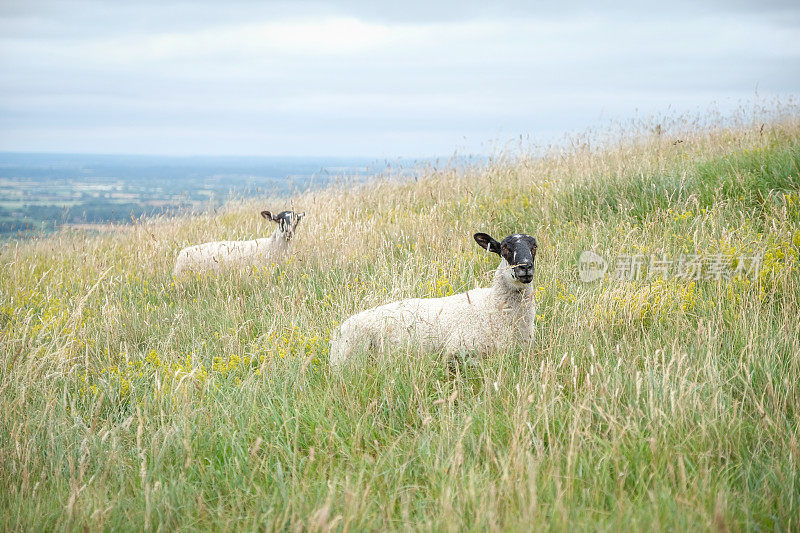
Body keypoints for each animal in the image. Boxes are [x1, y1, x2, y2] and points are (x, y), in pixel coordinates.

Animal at [328, 231, 540, 368]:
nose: (525, 267)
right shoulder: (458, 353)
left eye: (534, 247)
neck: (492, 306)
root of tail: (341, 328)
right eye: (504, 248)